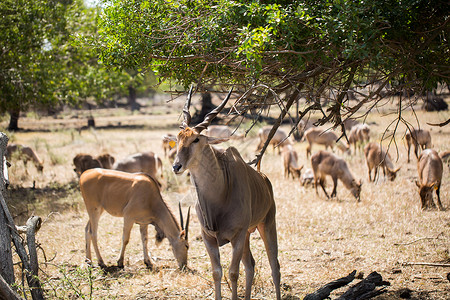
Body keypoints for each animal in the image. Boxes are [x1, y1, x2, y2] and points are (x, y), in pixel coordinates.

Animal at [167, 86, 280, 300]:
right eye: (178, 139)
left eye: (196, 139)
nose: (176, 166)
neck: (221, 192)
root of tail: (264, 179)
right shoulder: (209, 238)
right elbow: (217, 273)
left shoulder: (237, 236)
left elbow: (233, 273)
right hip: (248, 235)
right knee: (250, 265)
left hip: (266, 225)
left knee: (274, 265)